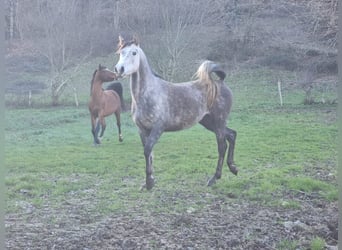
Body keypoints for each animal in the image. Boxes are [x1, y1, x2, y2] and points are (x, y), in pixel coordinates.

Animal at [113, 36, 236, 189]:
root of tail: (220, 82)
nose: (119, 69)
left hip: (219, 121)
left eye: (134, 52)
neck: (147, 94)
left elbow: (147, 150)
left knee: (222, 146)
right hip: (209, 122)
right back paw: (233, 168)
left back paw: (214, 178)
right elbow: (150, 153)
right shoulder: (142, 130)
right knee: (232, 135)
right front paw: (150, 181)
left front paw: (149, 183)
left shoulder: (158, 128)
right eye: (120, 53)